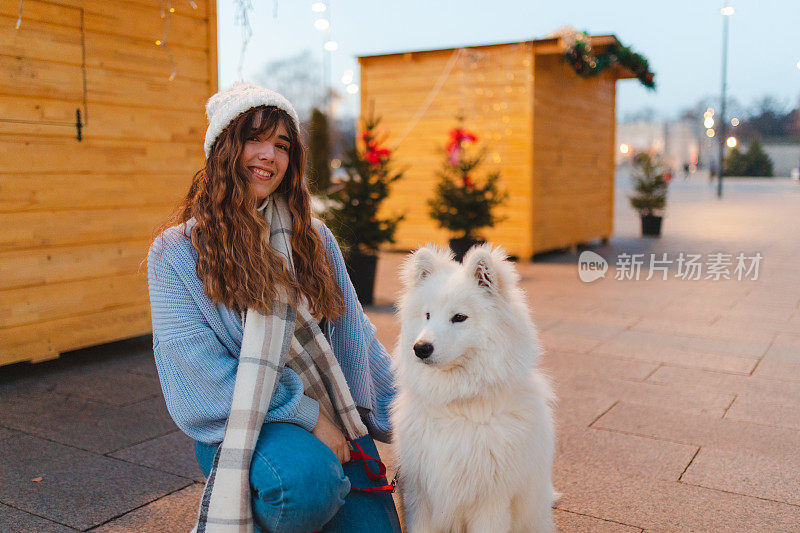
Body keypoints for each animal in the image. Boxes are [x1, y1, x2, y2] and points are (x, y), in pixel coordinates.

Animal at [390, 243, 552, 528]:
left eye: (459, 317)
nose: (420, 348)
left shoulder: (491, 503)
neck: (457, 406)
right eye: (427, 315)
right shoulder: (419, 497)